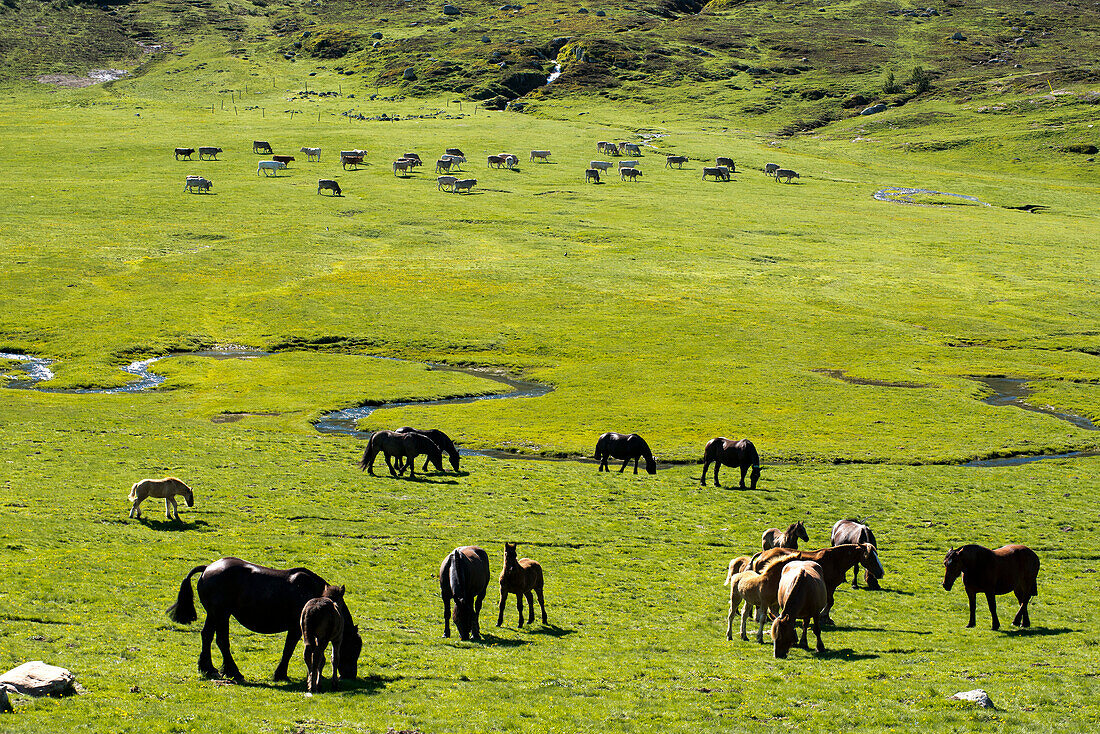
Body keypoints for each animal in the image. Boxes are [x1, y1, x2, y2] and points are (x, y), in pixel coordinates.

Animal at [165, 556, 360, 682]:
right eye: (354, 648)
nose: (350, 675)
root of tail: (207, 568)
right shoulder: (296, 628)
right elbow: (288, 650)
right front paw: (280, 674)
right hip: (221, 614)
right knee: (221, 641)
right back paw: (233, 671)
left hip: (215, 614)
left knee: (207, 636)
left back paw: (208, 668)